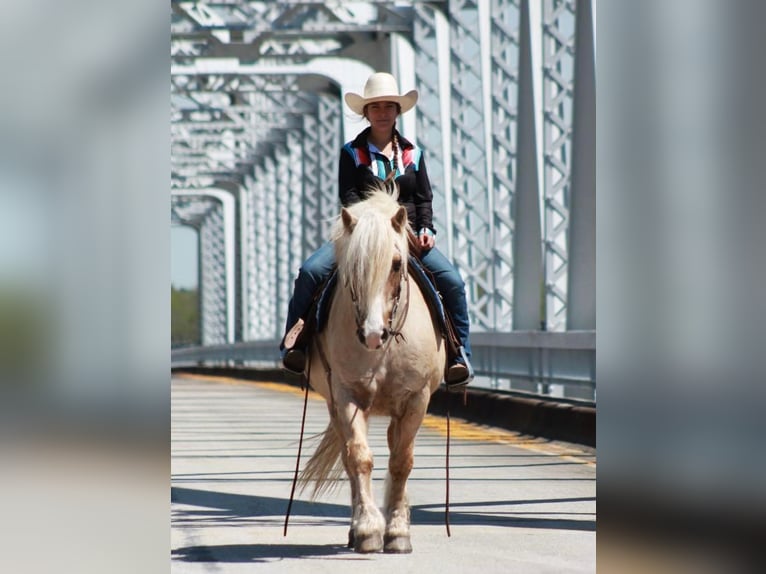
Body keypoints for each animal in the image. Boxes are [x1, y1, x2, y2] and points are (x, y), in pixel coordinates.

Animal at [298, 188, 448, 552]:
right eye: (351, 268)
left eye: (396, 264)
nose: (371, 334)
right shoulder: (346, 395)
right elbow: (359, 459)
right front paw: (367, 529)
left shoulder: (416, 399)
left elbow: (402, 461)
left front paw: (398, 532)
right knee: (350, 456)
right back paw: (356, 531)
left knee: (396, 451)